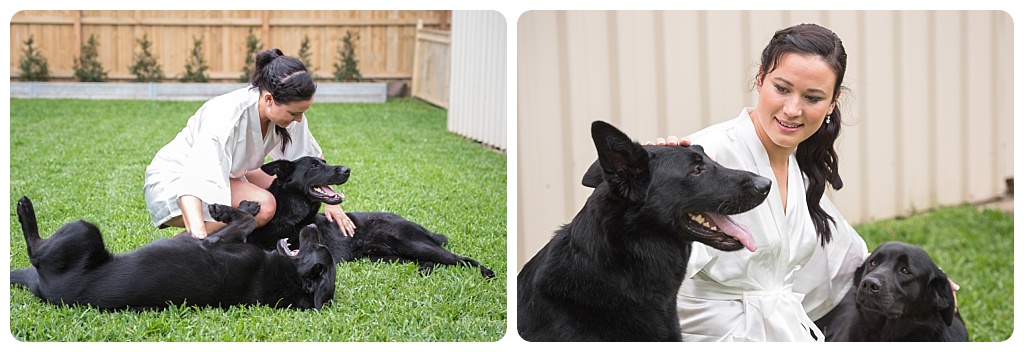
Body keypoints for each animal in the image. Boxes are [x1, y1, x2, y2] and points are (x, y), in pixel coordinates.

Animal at [9, 196, 335, 309]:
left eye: (318, 248)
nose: (311, 227)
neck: (283, 277)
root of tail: (42, 287)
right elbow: (248, 218)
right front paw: (246, 204)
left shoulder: (214, 241)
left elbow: (245, 221)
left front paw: (227, 208)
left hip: (83, 231)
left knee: (34, 249)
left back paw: (25, 209)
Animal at [247, 156, 495, 278]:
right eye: (315, 165)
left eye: (323, 161)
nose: (347, 170)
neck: (289, 217)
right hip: (387, 256)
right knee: (431, 261)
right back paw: (425, 270)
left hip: (410, 243)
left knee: (461, 259)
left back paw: (486, 272)